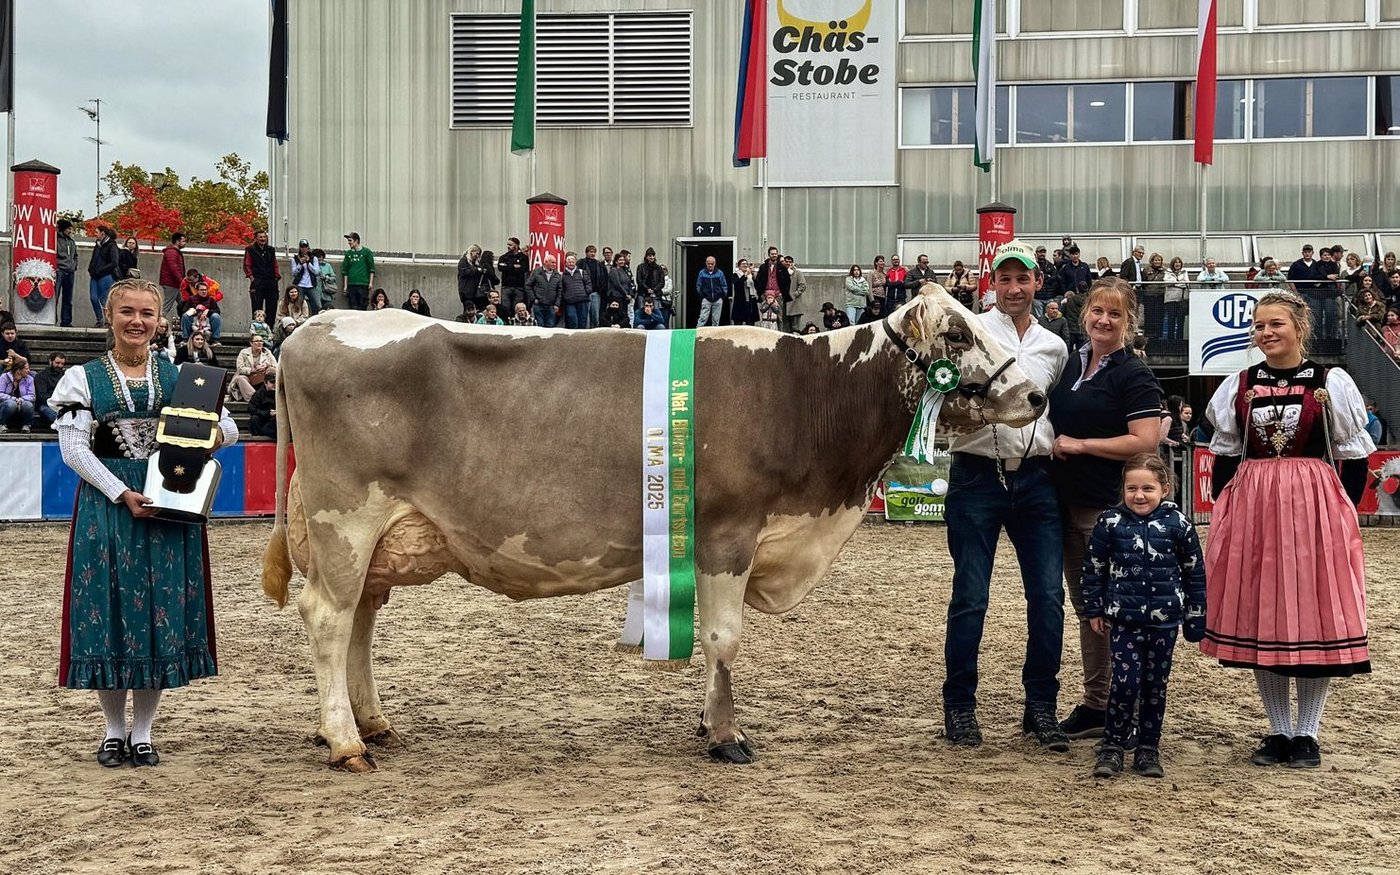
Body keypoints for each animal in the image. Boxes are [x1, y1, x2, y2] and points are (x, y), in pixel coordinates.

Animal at [260, 283, 1046, 772]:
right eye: (956, 332)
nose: (1037, 393)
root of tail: (312, 328)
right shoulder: (730, 532)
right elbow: (725, 636)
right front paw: (726, 736)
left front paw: (709, 721)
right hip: (345, 518)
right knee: (328, 616)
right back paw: (345, 742)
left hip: (376, 537)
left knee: (360, 619)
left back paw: (372, 722)